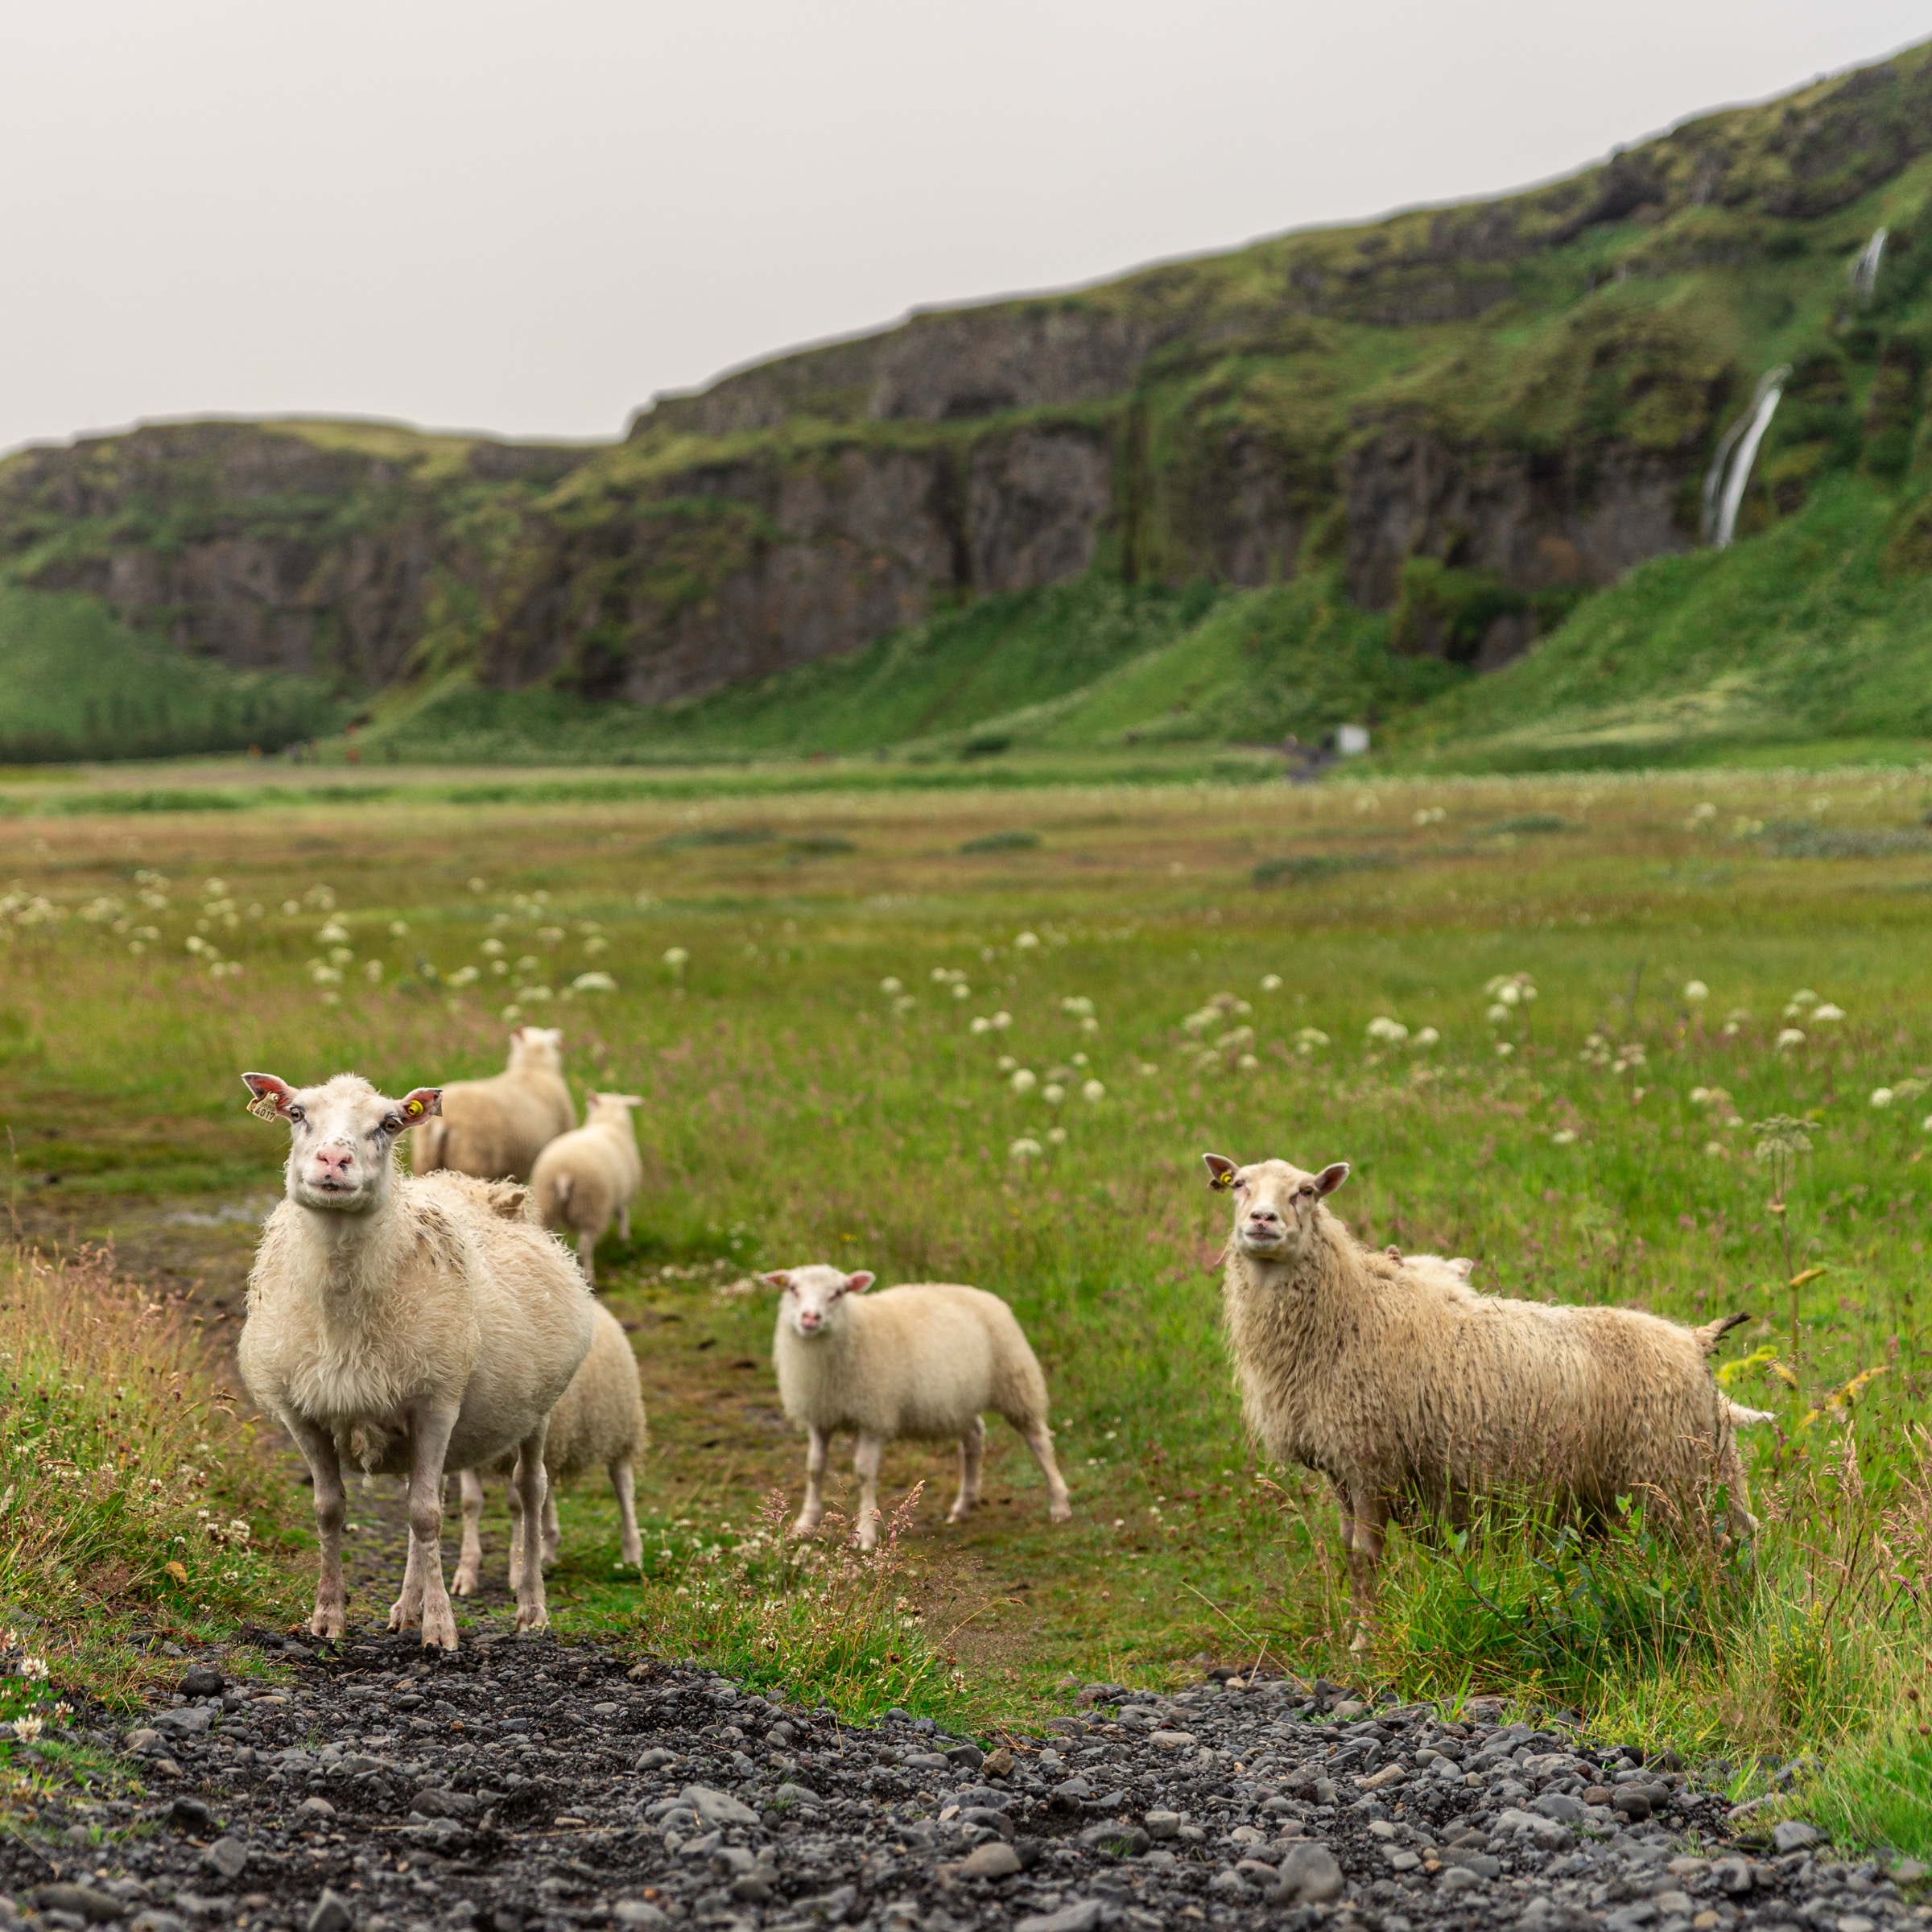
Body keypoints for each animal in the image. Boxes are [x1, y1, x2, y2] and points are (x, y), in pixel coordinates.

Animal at [238, 1070, 595, 1648]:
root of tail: (482, 1186)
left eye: (389, 1124)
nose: (333, 1161)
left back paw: (530, 1609)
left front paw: (441, 1627)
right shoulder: (302, 1413)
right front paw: (328, 1617)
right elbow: (329, 1512)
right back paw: (406, 1607)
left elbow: (427, 1517)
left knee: (529, 1491)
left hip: (538, 1408)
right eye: (296, 1113)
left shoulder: (437, 1402)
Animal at [452, 1300, 646, 1593]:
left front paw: (517, 1572)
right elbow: (470, 1504)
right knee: (546, 1489)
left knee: (623, 1486)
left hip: (619, 1426)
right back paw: (547, 1548)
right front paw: (466, 1573)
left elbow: (516, 1506)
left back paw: (632, 1553)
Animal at [529, 1092, 644, 1285]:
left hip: (547, 1206)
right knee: (585, 1248)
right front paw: (625, 1239)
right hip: (592, 1208)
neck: (609, 1122)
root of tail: (564, 1169)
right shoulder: (622, 1196)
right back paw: (589, 1279)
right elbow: (623, 1215)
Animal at [765, 1264, 1071, 1551]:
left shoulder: (875, 1415)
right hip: (959, 1398)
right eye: (792, 1288)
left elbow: (864, 1473)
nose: (810, 1318)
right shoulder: (820, 1413)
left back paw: (1059, 1504)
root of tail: (978, 1292)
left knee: (1038, 1439)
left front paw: (866, 1531)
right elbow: (814, 1468)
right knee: (973, 1439)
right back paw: (964, 1505)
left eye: (838, 1293)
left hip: (1014, 1381)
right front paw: (804, 1526)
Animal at [1203, 1151, 1764, 1648]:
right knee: (1741, 1536)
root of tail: (1695, 1339)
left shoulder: (1368, 1459)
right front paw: (1357, 1636)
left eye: (1307, 1191)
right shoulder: (1341, 1468)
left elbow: (1366, 1555)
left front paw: (1366, 1642)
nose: (1261, 1219)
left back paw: (1723, 1624)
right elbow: (1351, 1553)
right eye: (1239, 1185)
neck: (1349, 1314)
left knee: (1717, 1547)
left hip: (1674, 1474)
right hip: (1694, 1471)